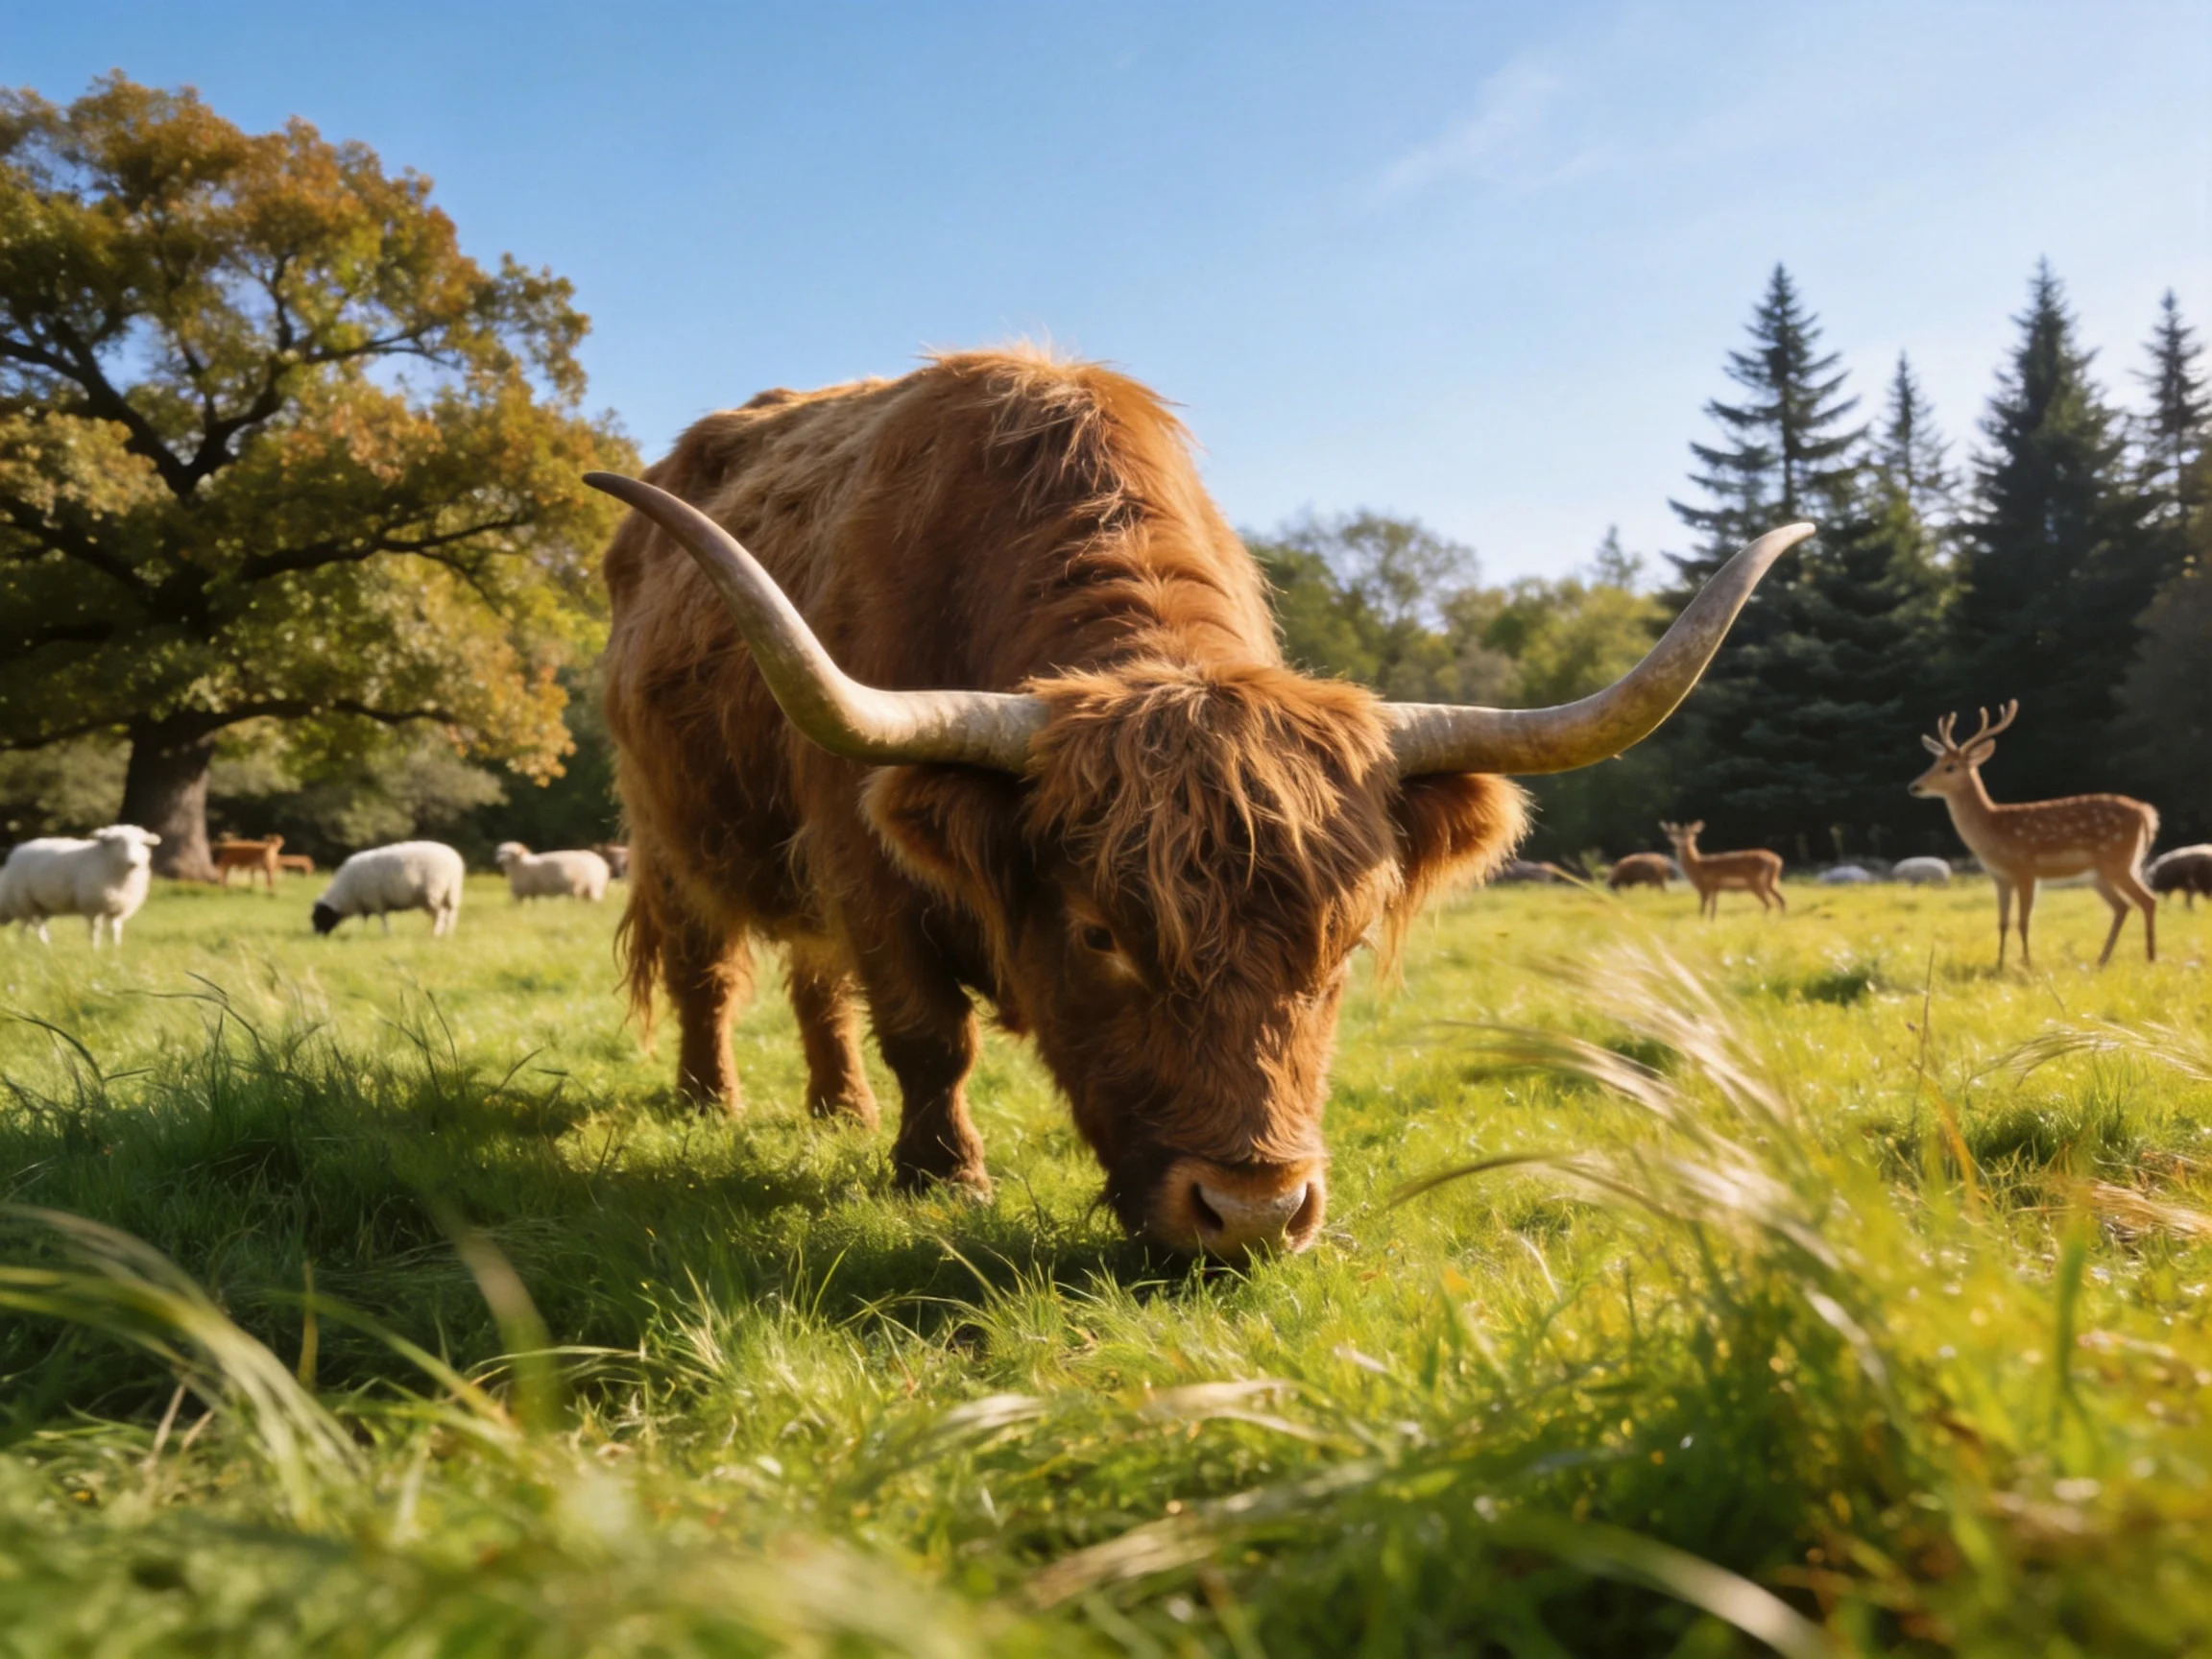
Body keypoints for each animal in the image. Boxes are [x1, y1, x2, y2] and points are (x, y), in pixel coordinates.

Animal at [0, 825, 161, 947]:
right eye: (117, 841)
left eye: (143, 843)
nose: (133, 862)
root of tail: (19, 849)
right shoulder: (93, 906)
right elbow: (95, 931)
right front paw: (95, 950)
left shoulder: (117, 909)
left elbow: (115, 930)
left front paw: (116, 950)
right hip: (23, 900)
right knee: (35, 926)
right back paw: (45, 945)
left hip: (40, 905)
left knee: (27, 926)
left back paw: (26, 945)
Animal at [312, 841, 465, 937]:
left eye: (320, 916)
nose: (318, 936)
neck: (346, 893)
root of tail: (455, 861)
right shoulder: (367, 904)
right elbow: (364, 920)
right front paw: (361, 932)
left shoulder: (375, 900)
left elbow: (382, 918)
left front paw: (387, 933)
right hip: (451, 893)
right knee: (450, 914)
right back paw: (448, 933)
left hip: (433, 893)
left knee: (439, 915)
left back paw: (436, 933)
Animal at [1658, 821, 1786, 918]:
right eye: (1674, 832)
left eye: (1689, 833)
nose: (1680, 841)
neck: (1698, 866)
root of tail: (1778, 861)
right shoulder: (1715, 888)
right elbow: (1713, 910)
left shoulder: (1704, 886)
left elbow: (1702, 909)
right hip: (1772, 881)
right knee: (1779, 901)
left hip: (1757, 882)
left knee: (1771, 903)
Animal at [1907, 701, 2159, 968]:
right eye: (1933, 763)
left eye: (1950, 767)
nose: (1915, 786)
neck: (1992, 831)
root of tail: (2146, 812)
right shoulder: (1999, 877)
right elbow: (2003, 922)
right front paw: (1999, 964)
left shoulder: (2026, 869)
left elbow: (2023, 921)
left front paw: (2027, 964)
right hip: (2099, 873)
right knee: (2122, 906)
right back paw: (2102, 960)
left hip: (2118, 860)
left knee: (2147, 900)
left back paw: (2151, 957)